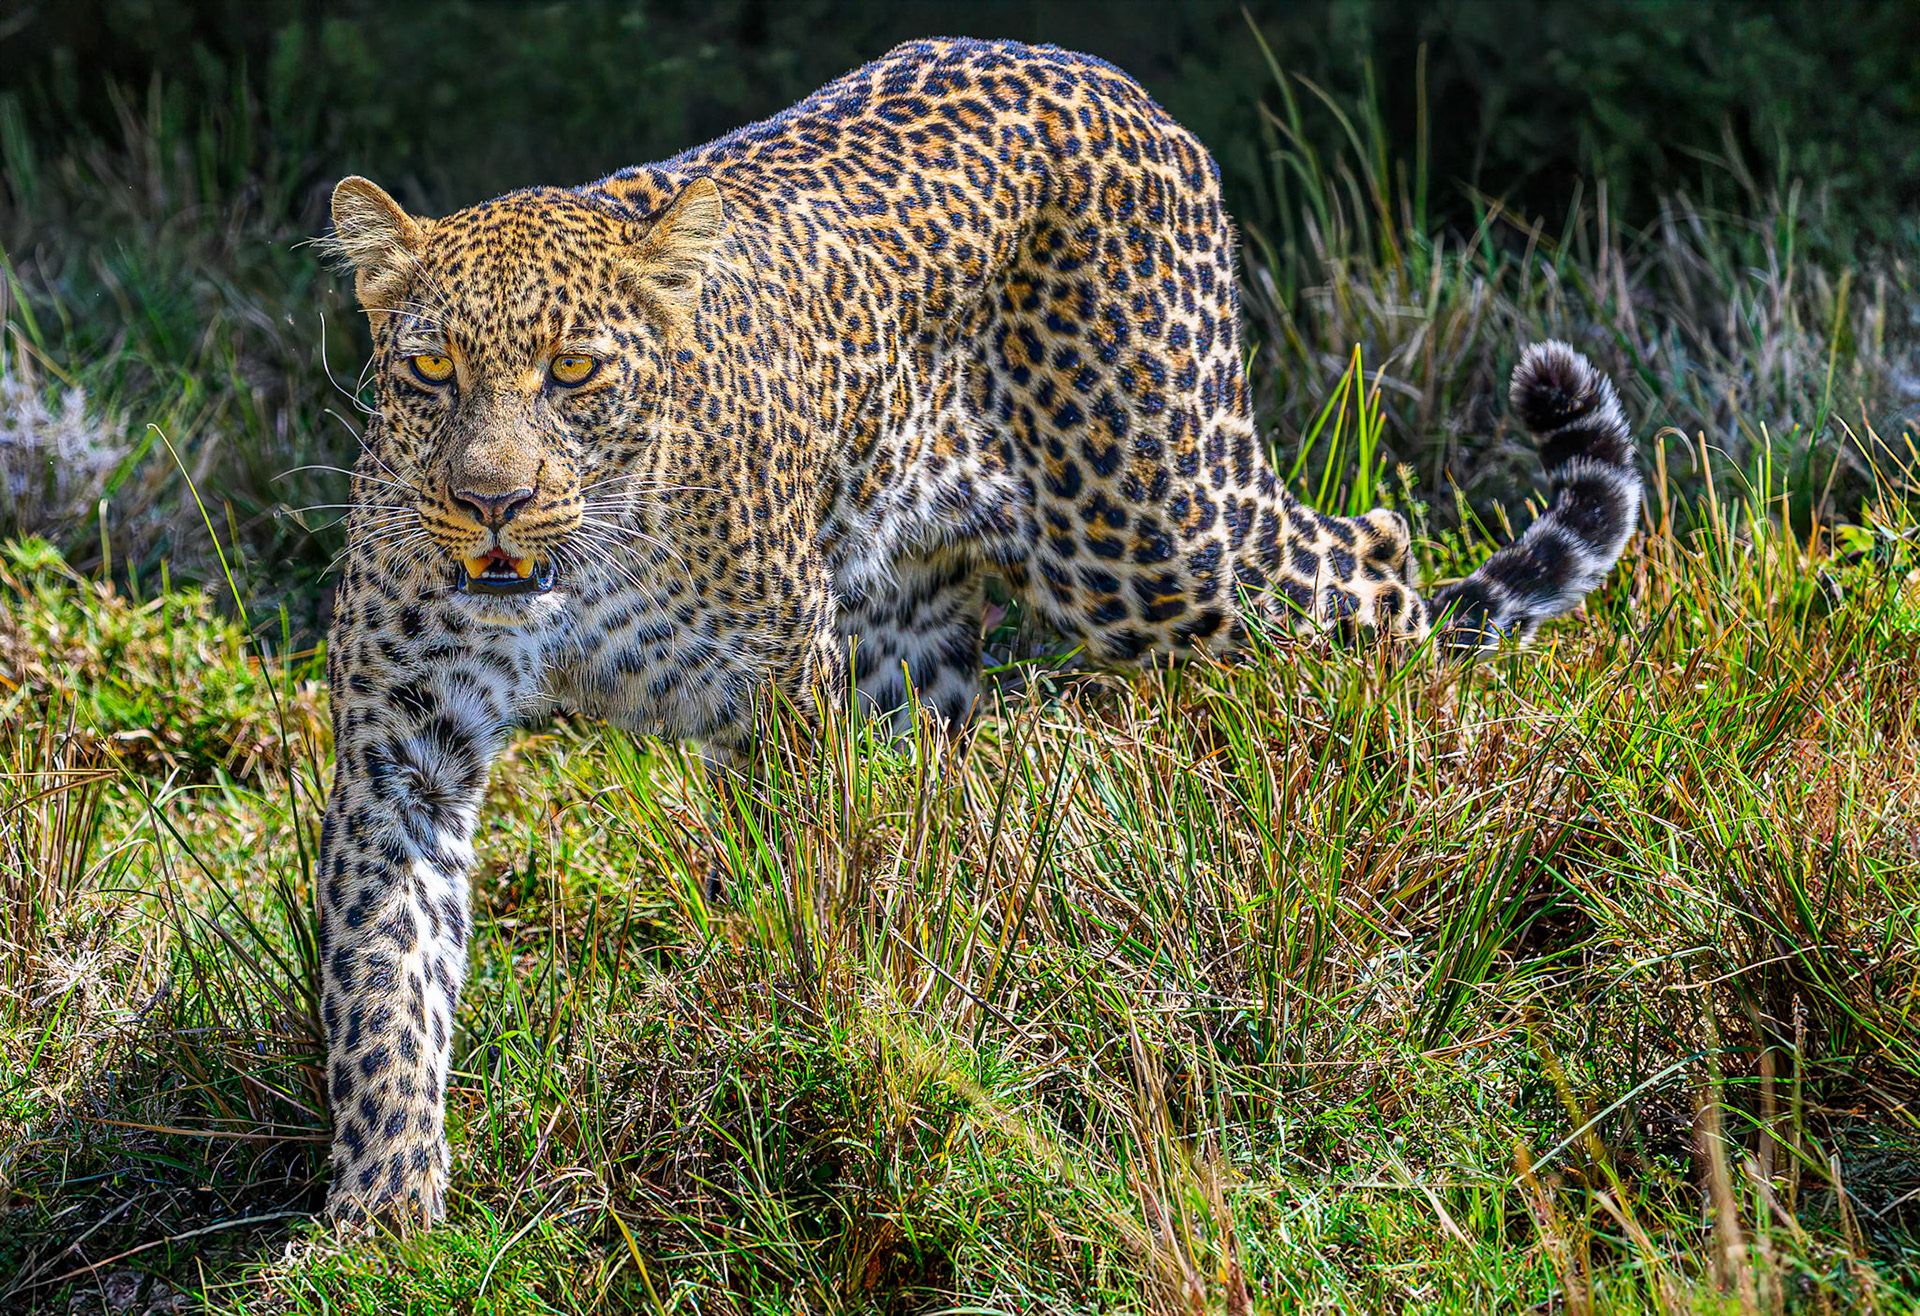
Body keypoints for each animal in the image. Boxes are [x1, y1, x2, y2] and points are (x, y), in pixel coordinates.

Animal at [314, 37, 1640, 1224]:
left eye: (575, 370)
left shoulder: (779, 708)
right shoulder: (402, 750)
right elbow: (384, 986)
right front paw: (382, 1217)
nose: (491, 497)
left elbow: (800, 891)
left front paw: (789, 1036)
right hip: (916, 636)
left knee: (1377, 555)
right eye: (429, 368)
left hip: (1154, 537)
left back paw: (1406, 771)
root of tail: (1112, 81)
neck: (570, 577)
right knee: (928, 801)